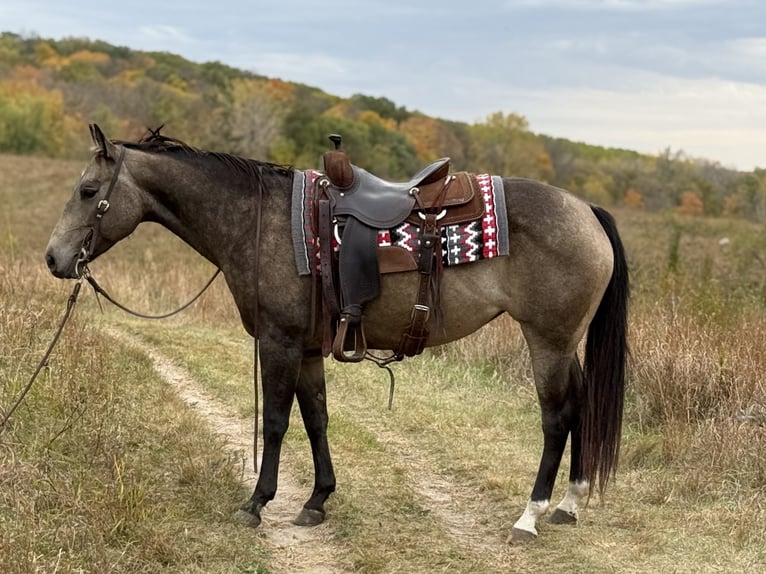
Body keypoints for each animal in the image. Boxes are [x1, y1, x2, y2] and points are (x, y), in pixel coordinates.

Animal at [45, 124, 628, 542]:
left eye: (88, 190)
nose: (53, 258)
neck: (259, 221)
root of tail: (586, 210)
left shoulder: (278, 341)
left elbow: (277, 423)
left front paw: (257, 503)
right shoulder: (305, 348)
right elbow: (316, 419)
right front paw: (317, 500)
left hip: (547, 340)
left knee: (557, 418)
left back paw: (530, 515)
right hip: (565, 343)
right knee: (581, 405)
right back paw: (570, 504)